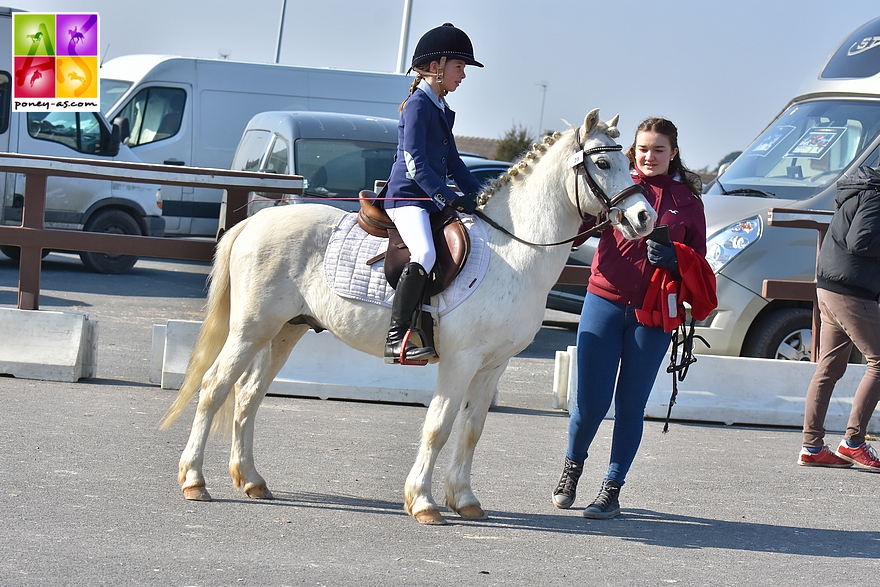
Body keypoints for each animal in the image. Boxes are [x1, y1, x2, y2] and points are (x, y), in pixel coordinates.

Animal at [162, 108, 656, 524]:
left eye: (630, 162)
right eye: (603, 163)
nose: (644, 218)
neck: (514, 252)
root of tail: (254, 222)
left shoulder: (493, 364)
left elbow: (472, 429)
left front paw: (466, 500)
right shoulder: (461, 360)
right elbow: (439, 426)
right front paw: (423, 502)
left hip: (285, 331)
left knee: (247, 396)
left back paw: (251, 481)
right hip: (251, 329)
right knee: (214, 388)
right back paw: (195, 480)